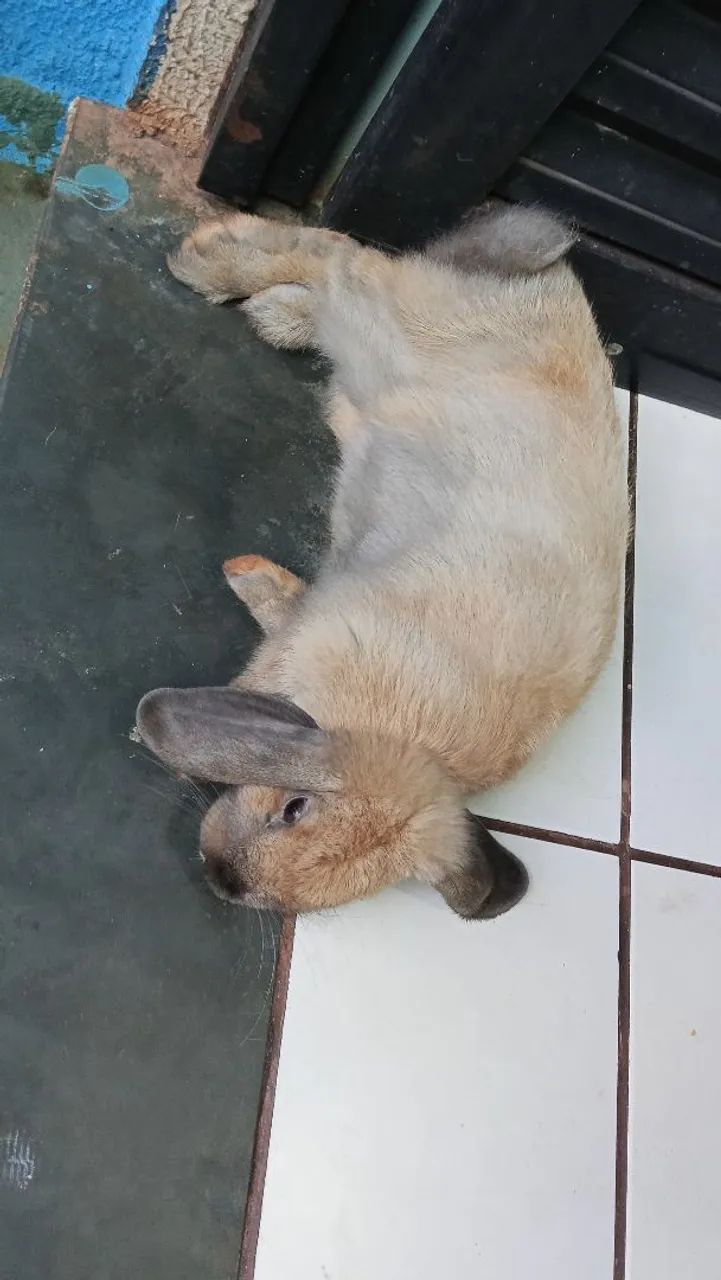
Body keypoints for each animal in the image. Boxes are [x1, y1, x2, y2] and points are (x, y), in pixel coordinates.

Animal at [136, 202, 627, 920]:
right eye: (295, 807)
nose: (222, 878)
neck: (398, 730)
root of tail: (555, 279)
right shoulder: (314, 638)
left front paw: (251, 577)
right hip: (386, 325)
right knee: (336, 255)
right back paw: (209, 262)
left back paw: (271, 312)